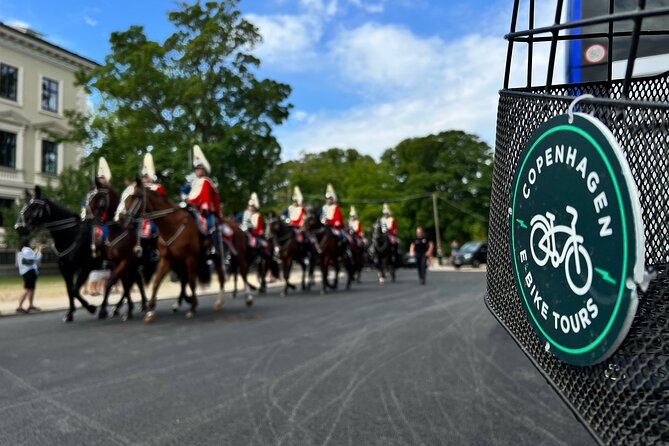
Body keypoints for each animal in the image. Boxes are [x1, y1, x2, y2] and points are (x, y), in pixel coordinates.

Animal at [14, 186, 98, 322]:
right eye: (24, 206)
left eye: (34, 206)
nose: (19, 227)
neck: (71, 235)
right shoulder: (66, 269)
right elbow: (70, 290)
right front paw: (70, 313)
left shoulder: (85, 267)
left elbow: (73, 290)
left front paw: (91, 308)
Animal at [84, 183, 155, 322]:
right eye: (88, 197)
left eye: (98, 198)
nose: (86, 219)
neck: (118, 230)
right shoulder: (116, 263)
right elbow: (121, 283)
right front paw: (114, 309)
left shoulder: (126, 261)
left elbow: (113, 283)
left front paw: (113, 310)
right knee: (136, 281)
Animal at [118, 178, 234, 320]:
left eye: (135, 196)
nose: (122, 219)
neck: (171, 225)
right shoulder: (167, 260)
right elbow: (157, 283)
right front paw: (150, 311)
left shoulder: (190, 259)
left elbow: (191, 282)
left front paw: (192, 308)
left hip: (216, 257)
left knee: (221, 277)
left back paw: (219, 302)